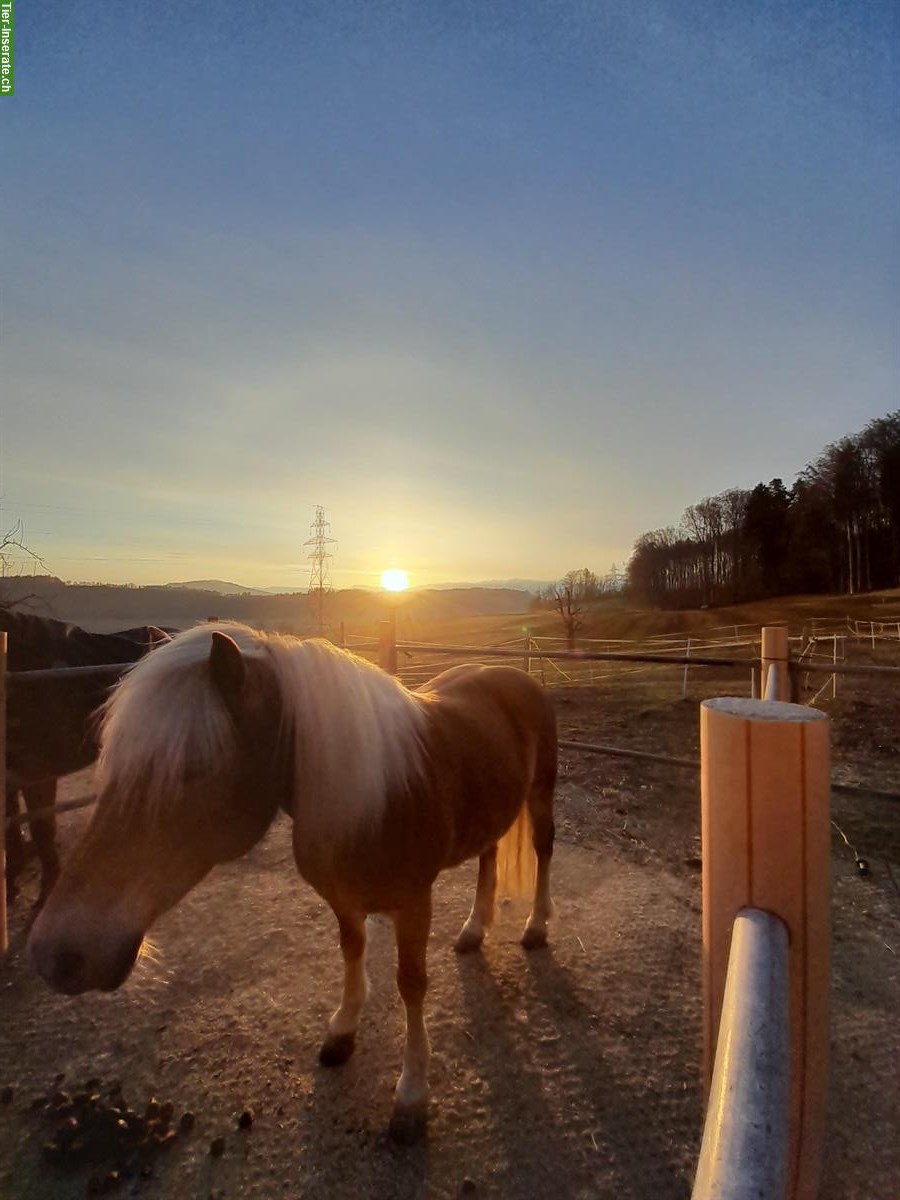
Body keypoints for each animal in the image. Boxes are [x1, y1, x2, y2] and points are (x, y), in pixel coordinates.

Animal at [30, 624, 556, 1137]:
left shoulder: (413, 905)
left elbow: (411, 985)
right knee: (488, 855)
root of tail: (514, 674)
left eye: (194, 768)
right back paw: (474, 930)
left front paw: (411, 1094)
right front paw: (342, 1030)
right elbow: (351, 951)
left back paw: (535, 928)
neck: (375, 799)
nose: (57, 954)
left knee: (544, 850)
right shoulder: (342, 899)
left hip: (540, 795)